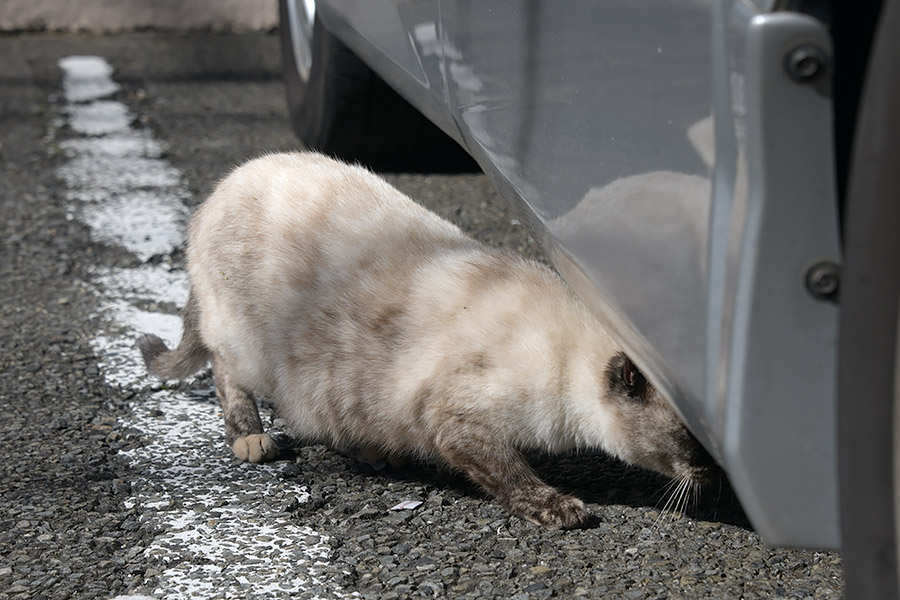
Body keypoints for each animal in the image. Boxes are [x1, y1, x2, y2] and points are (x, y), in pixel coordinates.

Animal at [137, 151, 712, 528]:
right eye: (694, 439)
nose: (711, 472)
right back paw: (252, 438)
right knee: (224, 370)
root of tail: (219, 190)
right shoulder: (457, 417)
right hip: (247, 344)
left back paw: (374, 451)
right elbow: (508, 473)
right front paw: (559, 509)